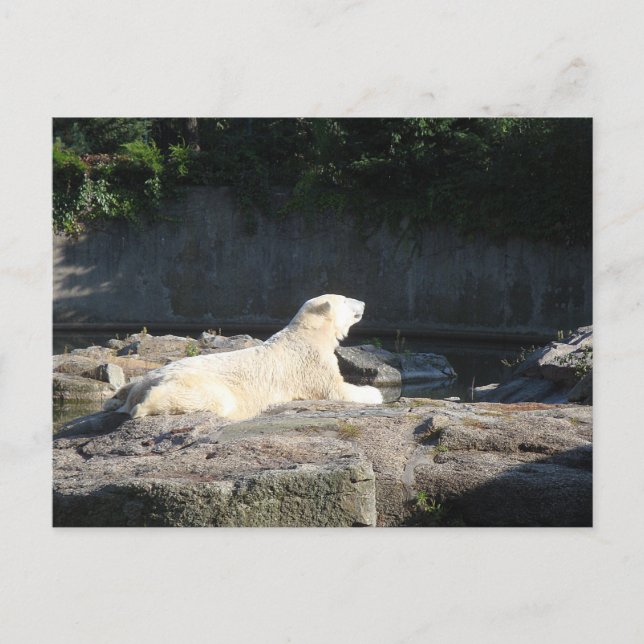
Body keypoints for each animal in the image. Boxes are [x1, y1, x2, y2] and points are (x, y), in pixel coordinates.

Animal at [102, 294, 383, 420]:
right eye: (345, 300)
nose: (364, 303)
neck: (307, 335)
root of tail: (144, 386)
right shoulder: (309, 364)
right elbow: (337, 390)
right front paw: (375, 393)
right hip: (197, 384)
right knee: (213, 399)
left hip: (149, 375)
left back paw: (114, 400)